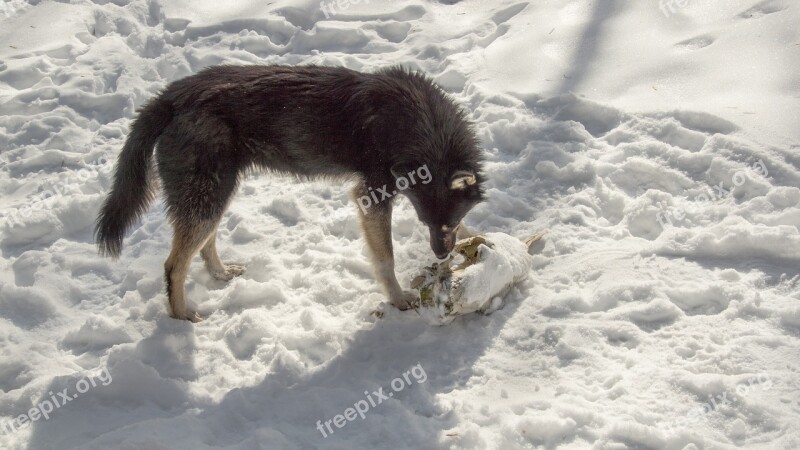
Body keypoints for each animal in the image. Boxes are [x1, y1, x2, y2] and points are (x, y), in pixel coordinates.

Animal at [94, 65, 484, 322]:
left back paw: (221, 274)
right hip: (207, 197)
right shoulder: (371, 197)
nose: (441, 255)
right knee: (174, 265)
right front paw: (399, 298)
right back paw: (181, 316)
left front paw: (479, 238)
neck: (419, 124)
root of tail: (171, 96)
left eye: (447, 223)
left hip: (216, 194)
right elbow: (385, 260)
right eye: (426, 222)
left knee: (204, 246)